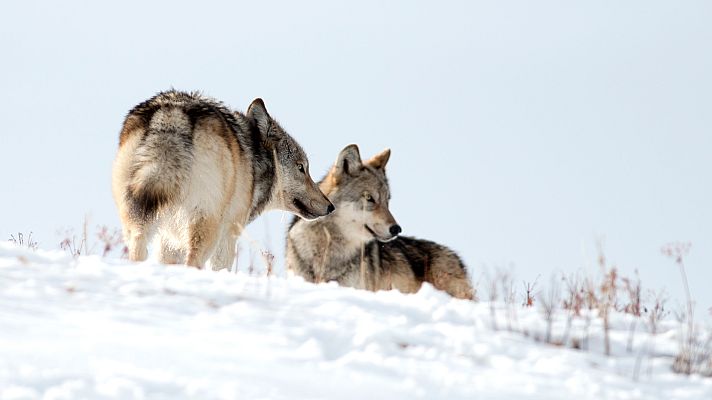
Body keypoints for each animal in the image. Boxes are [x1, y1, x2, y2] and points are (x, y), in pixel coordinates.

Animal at [112, 90, 333, 269]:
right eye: (301, 168)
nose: (330, 206)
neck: (253, 163)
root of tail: (174, 112)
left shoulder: (168, 242)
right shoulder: (228, 237)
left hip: (137, 223)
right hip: (206, 228)